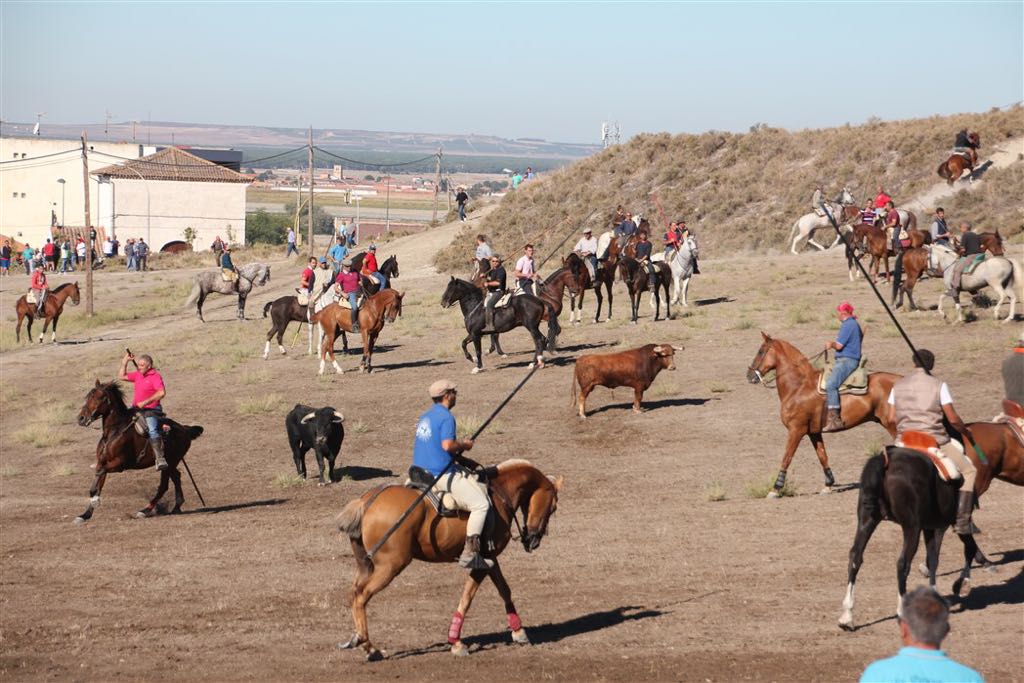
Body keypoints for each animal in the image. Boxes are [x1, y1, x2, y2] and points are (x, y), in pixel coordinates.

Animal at [74, 378, 203, 524]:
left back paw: (144, 510)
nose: (81, 418)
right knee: (176, 477)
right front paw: (85, 515)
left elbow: (98, 475)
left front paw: (94, 500)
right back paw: (176, 506)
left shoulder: (120, 464)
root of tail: (185, 429)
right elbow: (97, 484)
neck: (114, 432)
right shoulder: (103, 462)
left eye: (99, 397)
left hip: (169, 463)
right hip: (171, 463)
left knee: (164, 485)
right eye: (88, 397)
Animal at [333, 458, 561, 663]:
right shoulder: (484, 561)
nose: (533, 541)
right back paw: (369, 647)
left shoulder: (490, 558)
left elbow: (504, 589)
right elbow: (468, 597)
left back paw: (358, 640)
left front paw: (518, 630)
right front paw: (456, 641)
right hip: (391, 565)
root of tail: (367, 501)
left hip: (365, 564)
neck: (499, 494)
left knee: (353, 593)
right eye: (553, 507)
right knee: (361, 595)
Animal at [745, 335, 897, 499]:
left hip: (892, 425)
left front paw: (775, 489)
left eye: (761, 351)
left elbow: (787, 457)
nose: (749, 375)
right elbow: (822, 455)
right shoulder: (814, 432)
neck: (799, 387)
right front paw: (828, 485)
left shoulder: (796, 430)